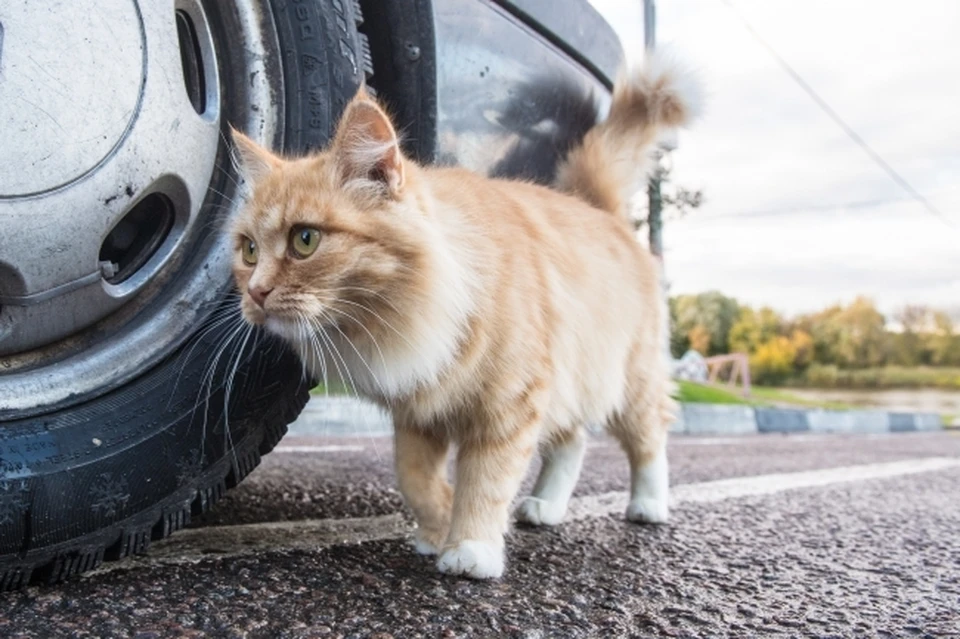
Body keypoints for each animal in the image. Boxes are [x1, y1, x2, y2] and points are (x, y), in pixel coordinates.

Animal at [230, 56, 700, 580]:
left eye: (305, 240)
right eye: (249, 251)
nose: (256, 292)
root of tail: (601, 210)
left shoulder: (509, 408)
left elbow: (485, 484)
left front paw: (471, 548)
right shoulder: (417, 412)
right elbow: (416, 480)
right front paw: (437, 530)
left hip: (630, 382)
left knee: (649, 440)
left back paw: (648, 506)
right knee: (572, 442)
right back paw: (545, 506)